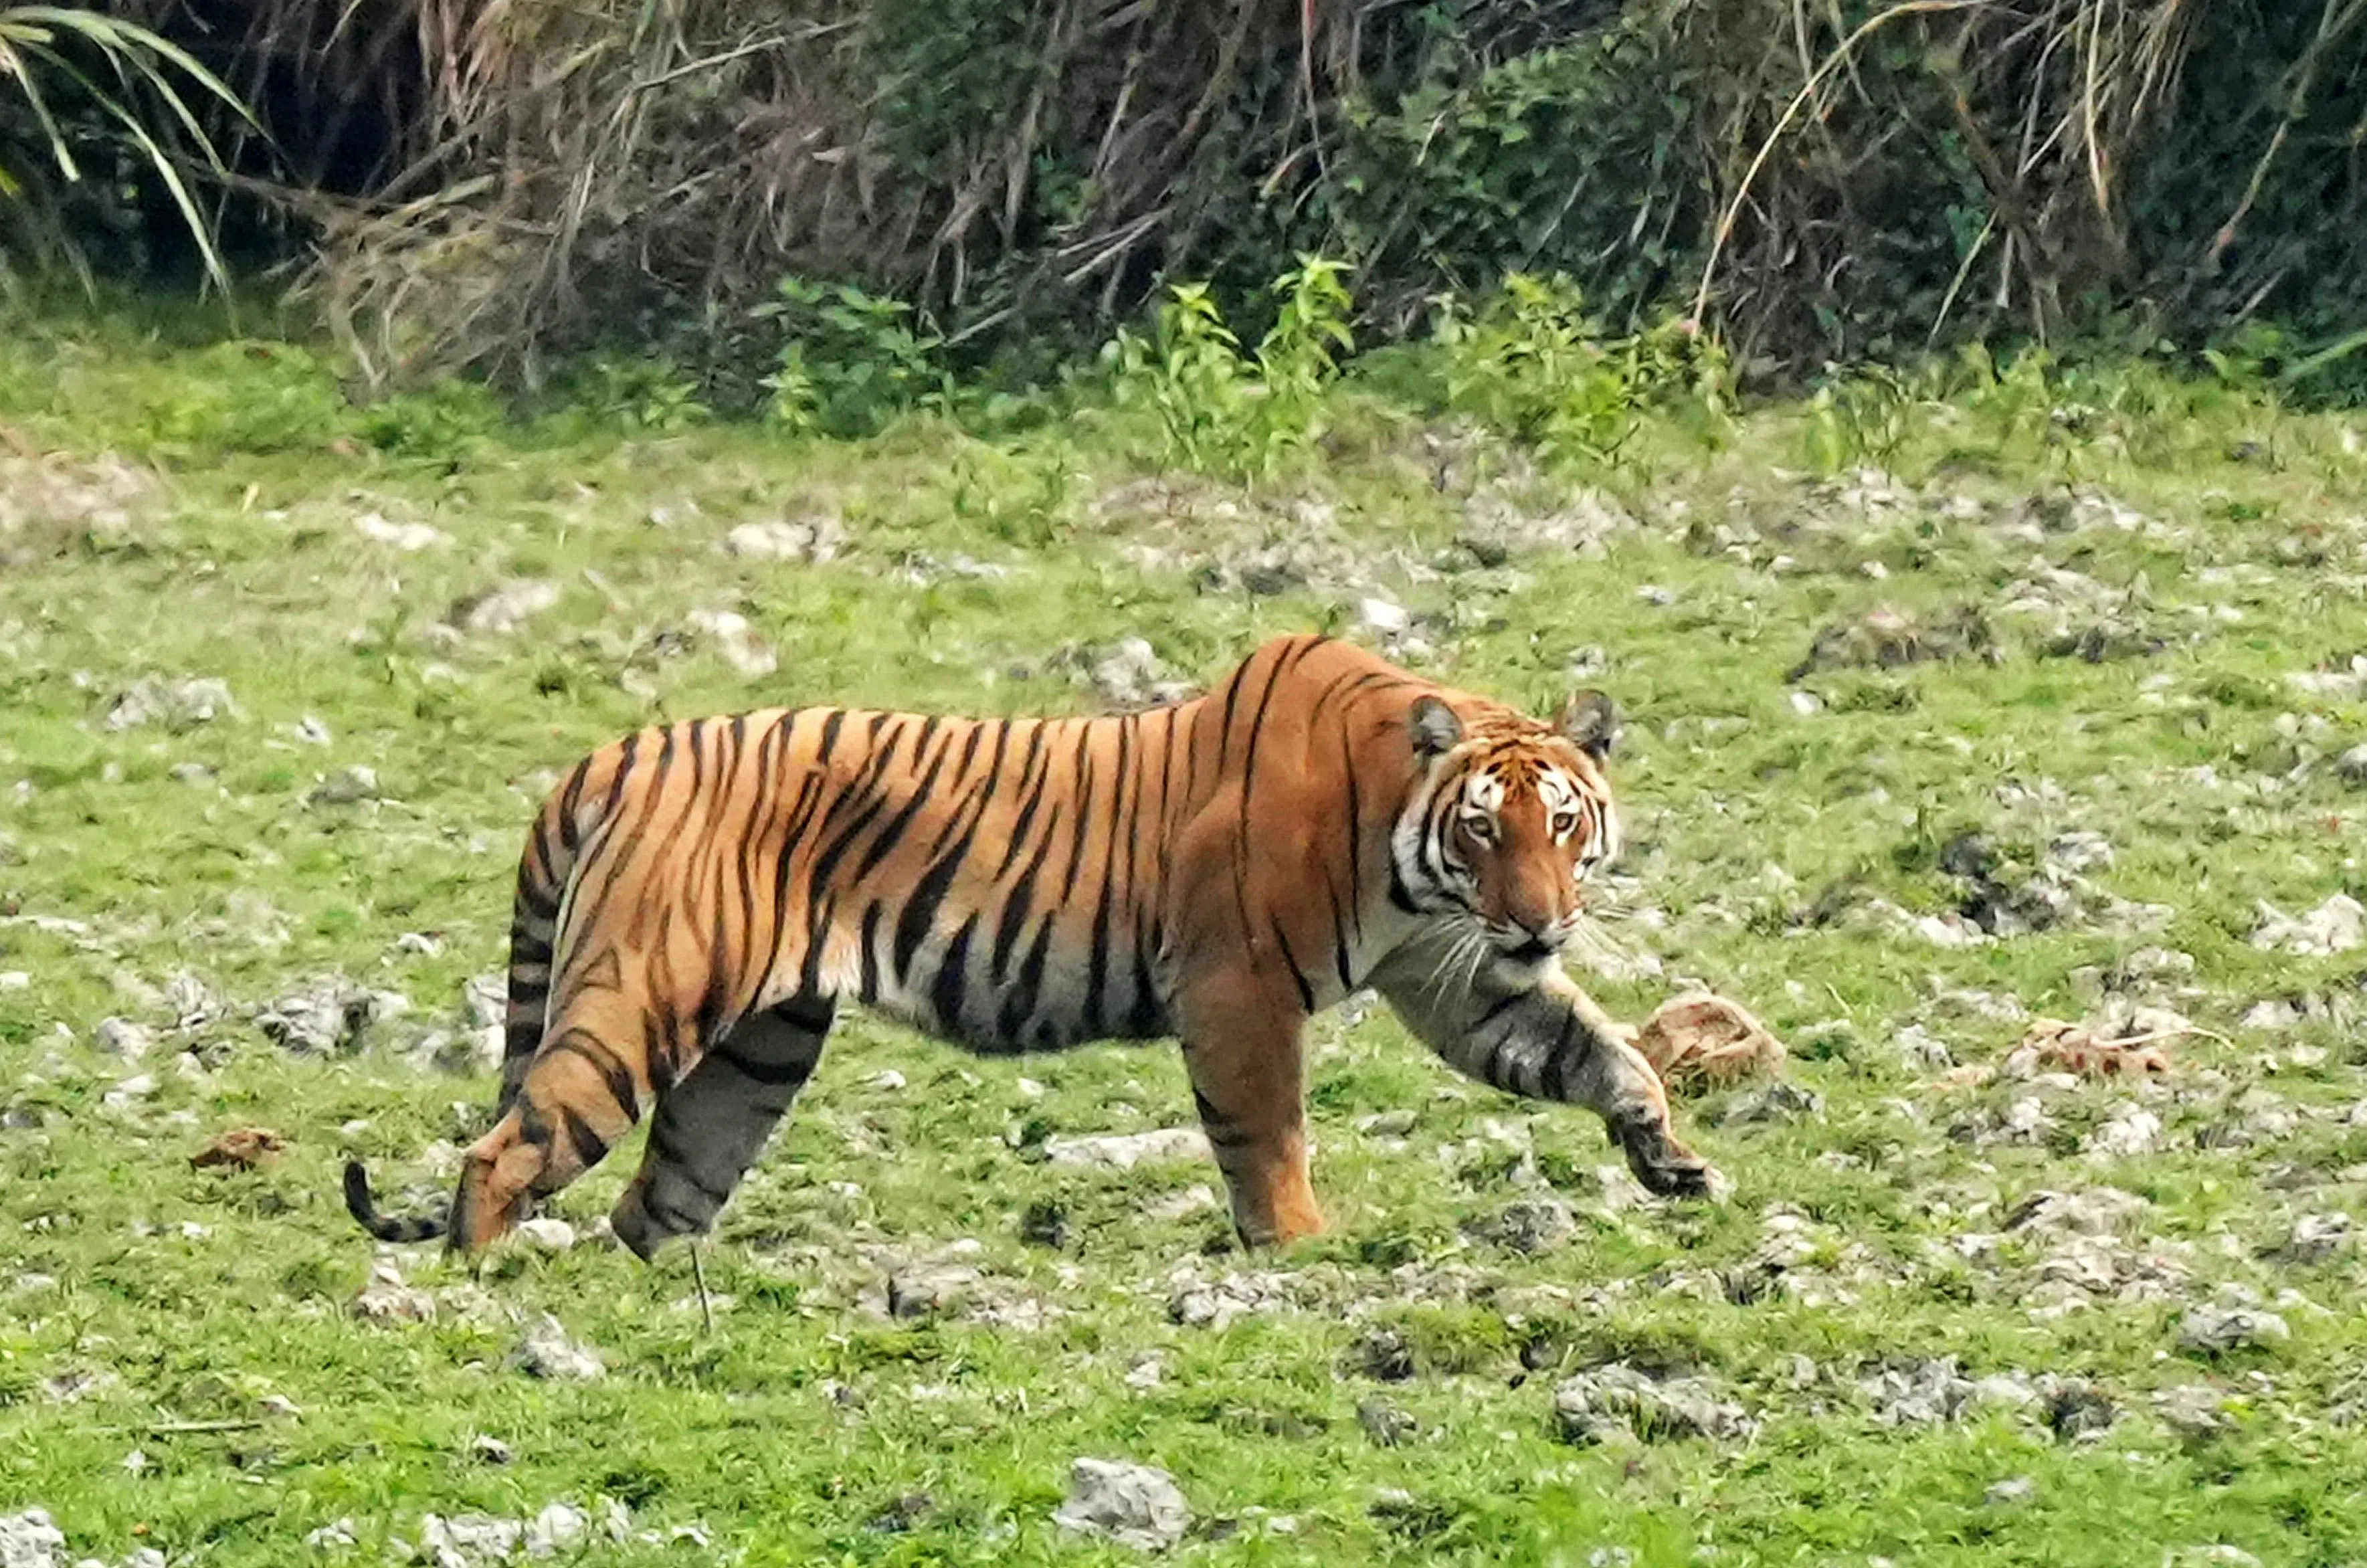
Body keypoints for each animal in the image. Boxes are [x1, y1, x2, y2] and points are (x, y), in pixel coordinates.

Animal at [344, 632, 1715, 1260]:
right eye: (1483, 829)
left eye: (1561, 823)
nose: (1538, 919)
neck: (1405, 848)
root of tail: (616, 750)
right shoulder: (1239, 988)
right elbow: (1268, 1134)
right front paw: (1300, 1252)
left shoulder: (1451, 977)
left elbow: (1596, 1050)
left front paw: (1670, 1157)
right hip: (643, 997)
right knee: (506, 1148)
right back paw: (483, 1293)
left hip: (757, 1048)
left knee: (656, 1197)